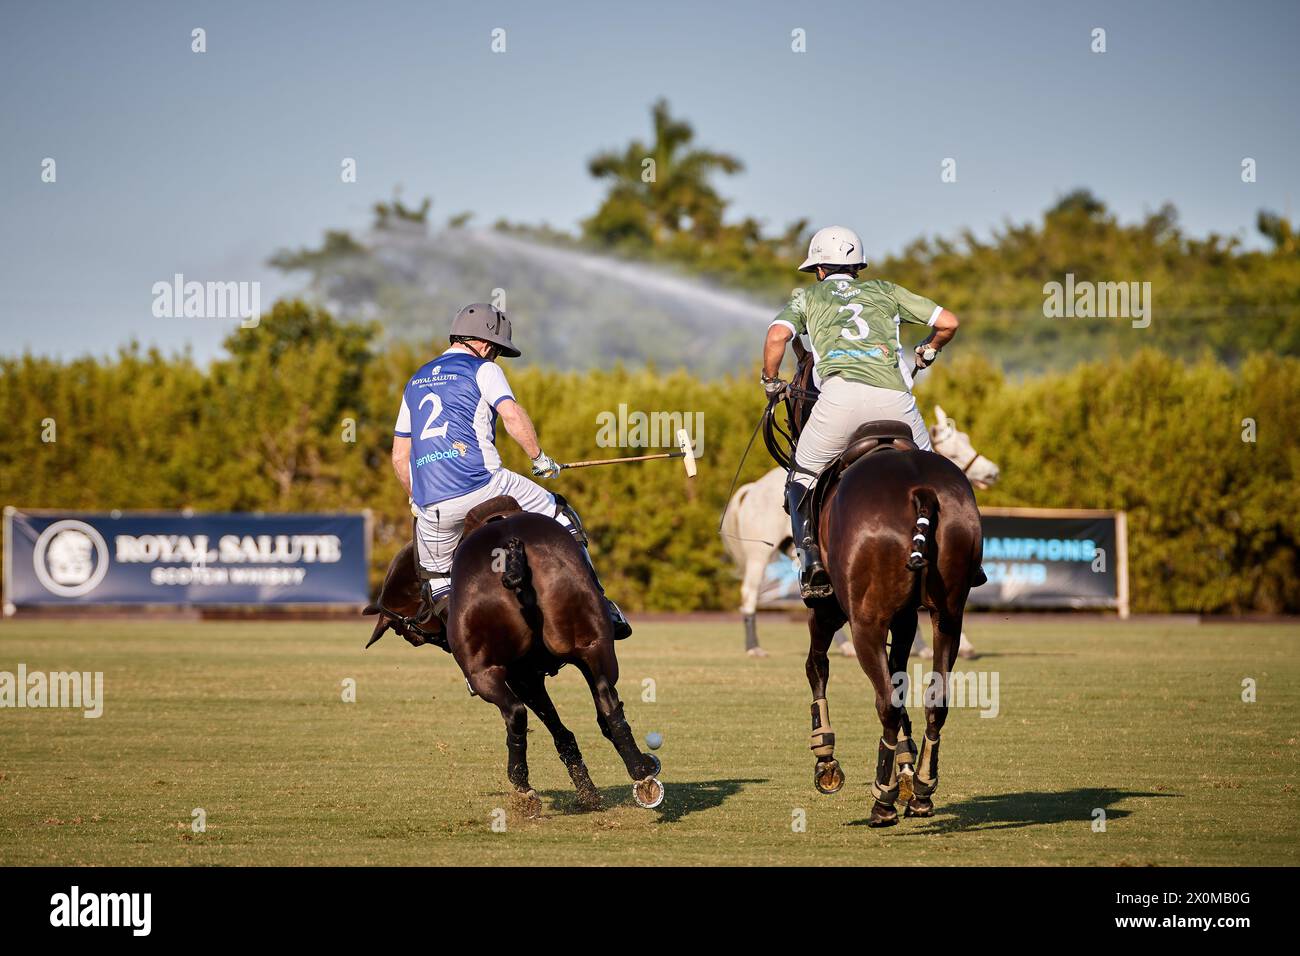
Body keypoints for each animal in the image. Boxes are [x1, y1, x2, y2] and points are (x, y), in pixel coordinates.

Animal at [366, 502, 665, 816]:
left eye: (403, 630)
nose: (414, 638)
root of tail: (510, 553)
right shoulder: (536, 672)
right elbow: (566, 731)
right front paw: (589, 793)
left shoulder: (523, 676)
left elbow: (555, 728)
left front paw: (586, 792)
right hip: (592, 644)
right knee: (607, 702)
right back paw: (641, 772)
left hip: (484, 672)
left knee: (515, 713)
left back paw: (523, 788)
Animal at [717, 403, 998, 658]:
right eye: (956, 452)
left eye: (967, 441)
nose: (993, 472)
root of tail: (752, 488)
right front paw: (927, 648)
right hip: (759, 555)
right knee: (750, 593)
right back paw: (754, 647)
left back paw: (843, 645)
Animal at [769, 356, 977, 827]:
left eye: (792, 391)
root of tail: (920, 491)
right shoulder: (905, 618)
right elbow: (900, 675)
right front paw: (907, 767)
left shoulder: (828, 609)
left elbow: (816, 666)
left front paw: (826, 759)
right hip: (948, 615)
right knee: (935, 698)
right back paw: (922, 788)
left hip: (864, 620)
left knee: (885, 701)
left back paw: (883, 800)